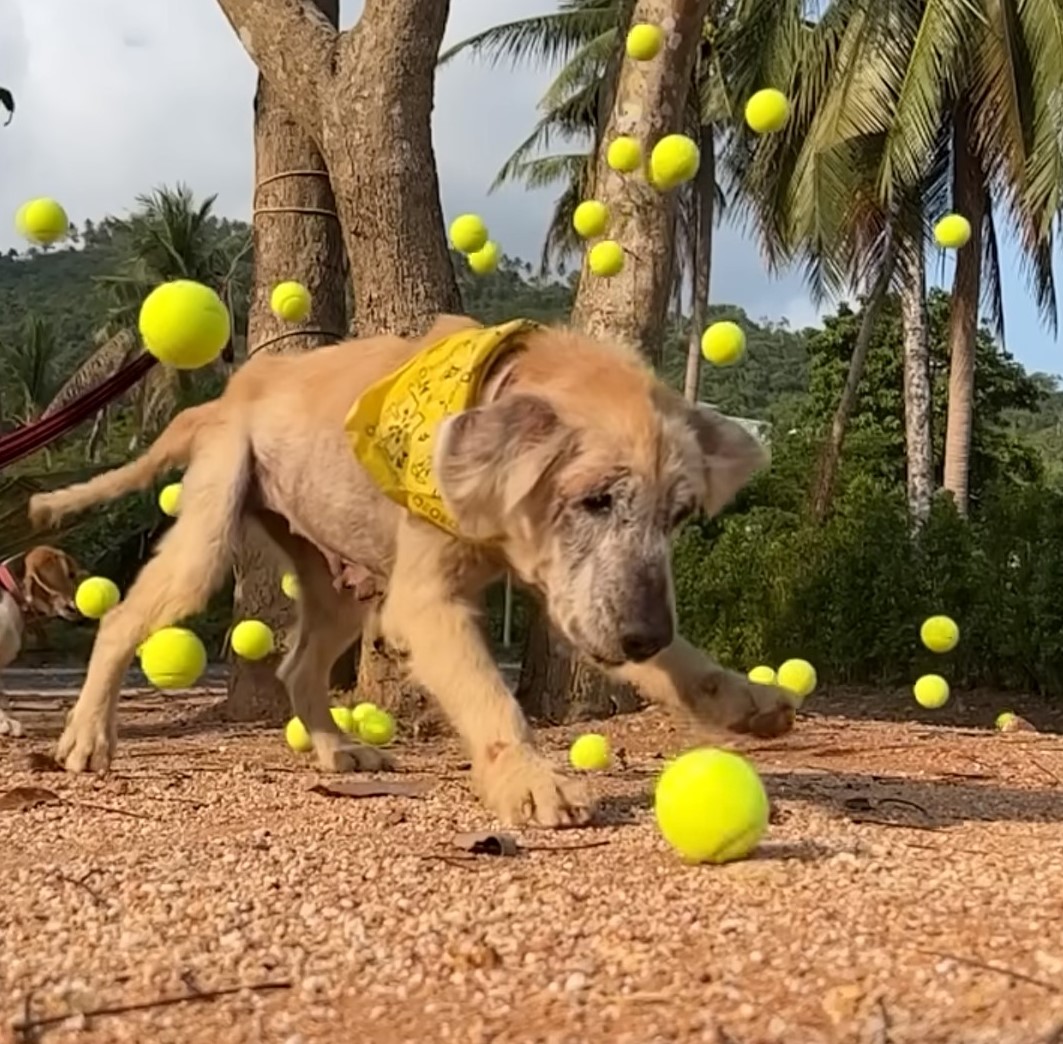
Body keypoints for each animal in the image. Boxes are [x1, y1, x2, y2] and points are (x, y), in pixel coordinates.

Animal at [29, 314, 795, 829]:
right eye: (594, 499)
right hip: (209, 535)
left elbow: (683, 664)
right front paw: (529, 780)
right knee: (122, 618)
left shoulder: (575, 596)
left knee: (297, 666)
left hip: (336, 581)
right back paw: (88, 737)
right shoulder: (427, 605)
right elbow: (492, 698)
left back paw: (336, 750)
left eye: (679, 515)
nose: (643, 636)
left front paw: (743, 700)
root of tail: (227, 396)